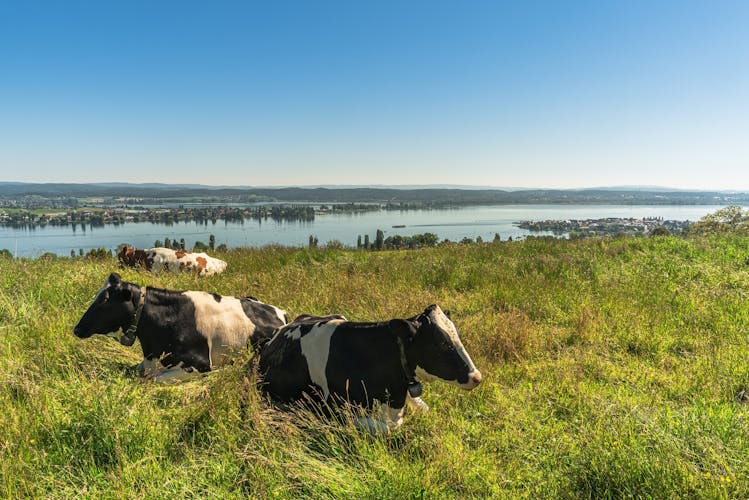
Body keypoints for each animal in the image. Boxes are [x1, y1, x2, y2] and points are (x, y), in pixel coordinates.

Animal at [74, 274, 288, 382]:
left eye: (105, 300)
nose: (76, 329)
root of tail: (280, 311)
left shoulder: (201, 364)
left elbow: (155, 379)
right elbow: (139, 370)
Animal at [258, 304, 480, 434]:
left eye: (457, 335)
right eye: (441, 344)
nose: (476, 377)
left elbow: (424, 409)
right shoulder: (331, 411)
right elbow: (387, 428)